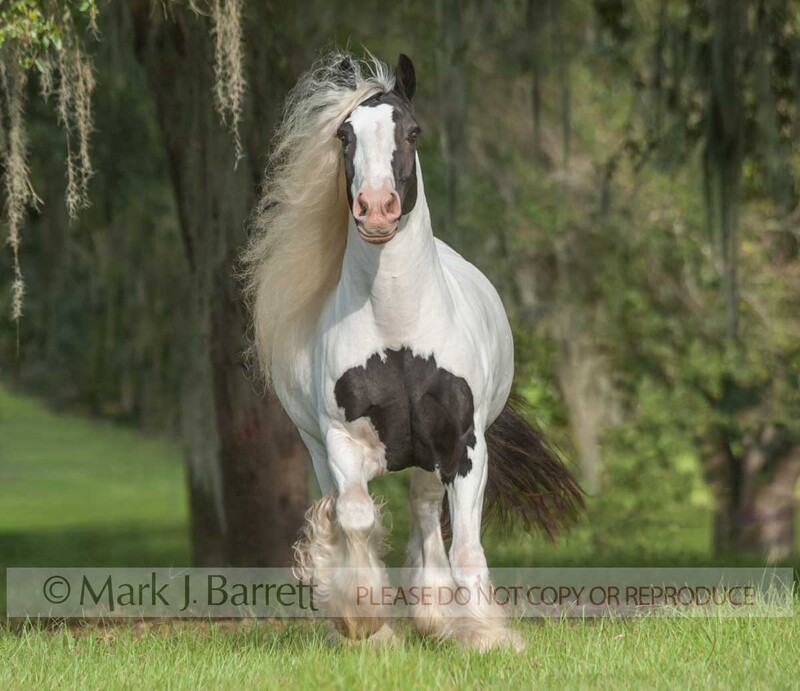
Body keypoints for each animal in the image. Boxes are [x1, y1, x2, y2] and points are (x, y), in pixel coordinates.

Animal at [244, 51, 583, 650]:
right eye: (345, 135)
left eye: (412, 131)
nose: (377, 209)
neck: (398, 334)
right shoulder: (341, 441)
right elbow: (355, 518)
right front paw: (364, 619)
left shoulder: (465, 447)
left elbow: (465, 545)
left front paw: (486, 635)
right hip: (319, 449)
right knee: (347, 511)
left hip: (431, 459)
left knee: (426, 513)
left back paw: (436, 616)